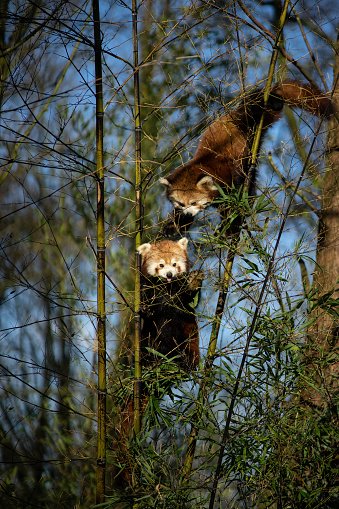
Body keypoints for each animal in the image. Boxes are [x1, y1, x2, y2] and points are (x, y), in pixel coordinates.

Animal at [162, 80, 334, 236]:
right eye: (180, 203)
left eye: (193, 202)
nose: (187, 213)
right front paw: (175, 225)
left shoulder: (228, 176)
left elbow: (237, 201)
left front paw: (231, 227)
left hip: (249, 119)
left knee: (255, 104)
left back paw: (274, 99)